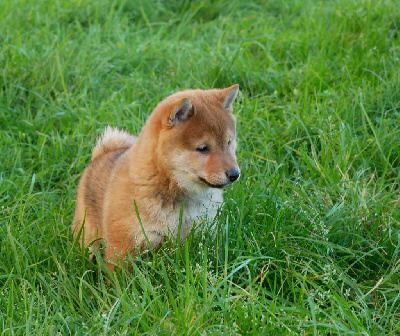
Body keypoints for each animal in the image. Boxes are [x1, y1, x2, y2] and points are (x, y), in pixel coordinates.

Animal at [72, 85, 241, 272]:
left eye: (228, 142)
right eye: (203, 148)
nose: (235, 174)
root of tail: (102, 154)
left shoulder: (205, 234)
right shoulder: (125, 246)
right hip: (88, 237)